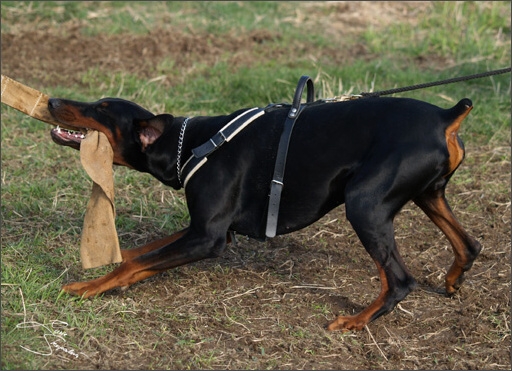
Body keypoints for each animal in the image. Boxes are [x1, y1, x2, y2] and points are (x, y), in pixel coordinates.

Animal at [47, 93, 480, 332]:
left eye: (100, 109)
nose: (51, 101)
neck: (190, 144)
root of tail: (446, 116)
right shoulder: (206, 228)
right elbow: (138, 254)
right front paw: (108, 264)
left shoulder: (209, 237)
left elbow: (134, 264)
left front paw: (86, 287)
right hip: (428, 195)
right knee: (470, 244)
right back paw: (452, 282)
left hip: (365, 204)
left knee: (400, 280)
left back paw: (355, 321)